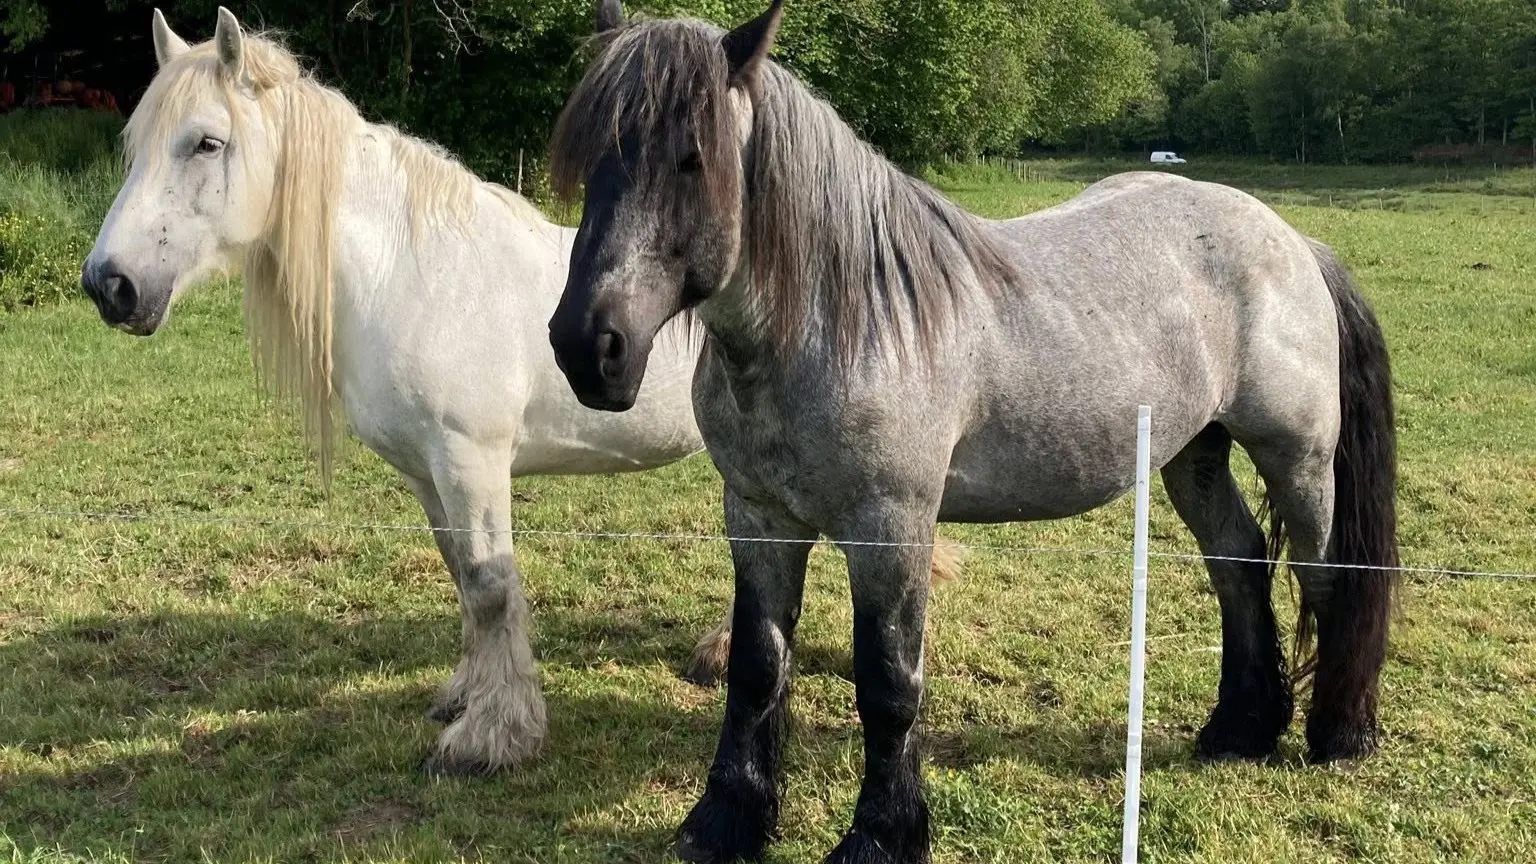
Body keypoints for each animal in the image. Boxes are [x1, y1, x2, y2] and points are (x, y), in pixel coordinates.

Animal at [77, 7, 722, 776]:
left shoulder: (471, 461)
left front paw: (493, 738)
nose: (109, 285)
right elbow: (463, 578)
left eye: (207, 142)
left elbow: (491, 587)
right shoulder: (425, 472)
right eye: (135, 145)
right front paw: (464, 698)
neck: (414, 273)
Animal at [546, 2, 1400, 862]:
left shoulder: (889, 528)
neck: (843, 321)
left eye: (693, 159)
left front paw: (882, 836)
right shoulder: (758, 516)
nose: (589, 347)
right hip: (1193, 452)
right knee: (1238, 560)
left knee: (1325, 574)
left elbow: (889, 685)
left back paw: (1338, 736)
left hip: (1298, 456)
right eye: (590, 157)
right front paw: (727, 820)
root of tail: (1293, 241)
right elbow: (758, 668)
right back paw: (1240, 728)